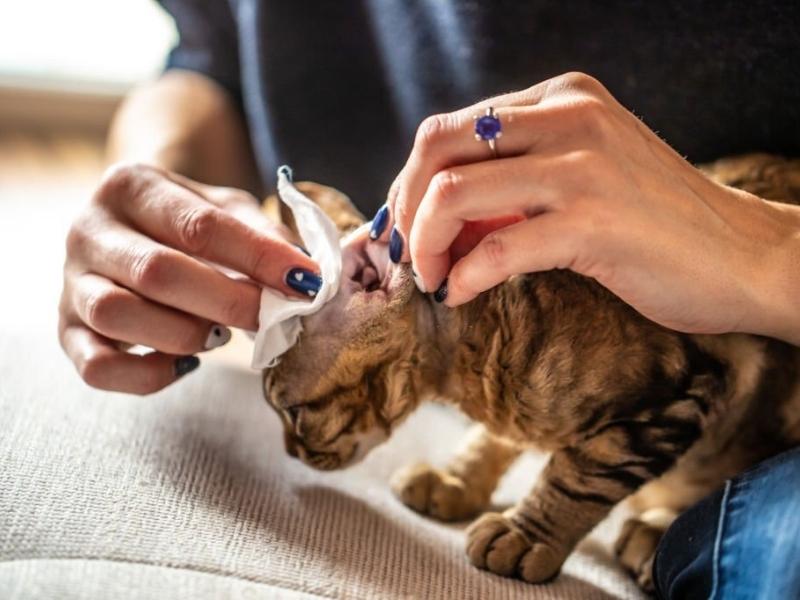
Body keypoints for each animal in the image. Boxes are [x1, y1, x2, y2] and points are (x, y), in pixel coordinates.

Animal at [262, 155, 800, 592]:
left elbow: (579, 476)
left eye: (294, 414)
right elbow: (494, 439)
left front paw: (525, 534)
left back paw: (651, 533)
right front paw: (456, 479)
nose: (289, 452)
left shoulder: (688, 388)